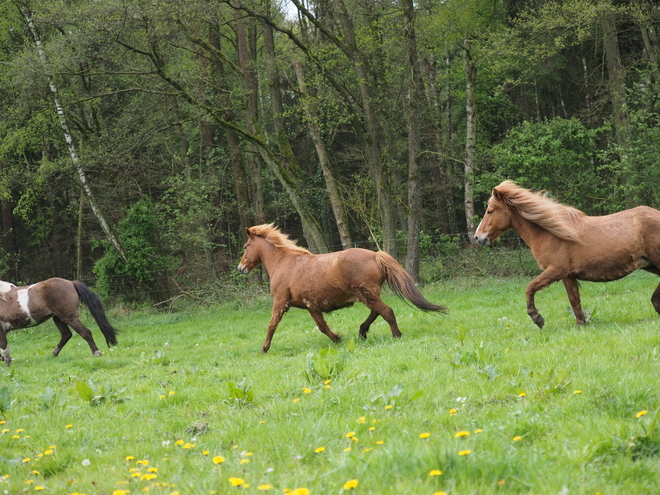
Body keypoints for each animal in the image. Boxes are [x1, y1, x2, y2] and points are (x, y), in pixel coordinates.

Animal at [237, 225, 448, 352]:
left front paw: (264, 348)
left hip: (366, 294)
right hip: (368, 295)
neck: (284, 262)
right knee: (377, 312)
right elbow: (322, 327)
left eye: (246, 246)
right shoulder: (311, 306)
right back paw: (362, 332)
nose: (241, 268)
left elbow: (272, 324)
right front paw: (337, 339)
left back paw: (396, 336)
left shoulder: (281, 301)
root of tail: (375, 255)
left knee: (386, 311)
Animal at [474, 182, 660, 330]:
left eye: (490, 211)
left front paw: (537, 318)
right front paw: (581, 324)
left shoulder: (556, 270)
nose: (478, 238)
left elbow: (530, 287)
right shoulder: (567, 275)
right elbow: (574, 300)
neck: (551, 233)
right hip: (649, 264)